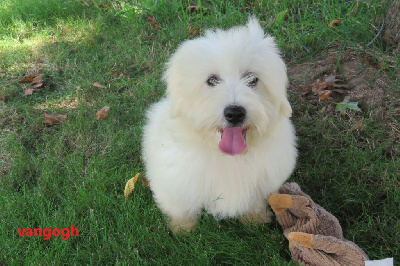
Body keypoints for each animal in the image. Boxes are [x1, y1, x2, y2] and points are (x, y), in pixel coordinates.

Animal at [142, 17, 296, 233]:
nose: (234, 113)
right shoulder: (175, 181)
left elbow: (254, 200)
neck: (228, 157)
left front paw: (255, 219)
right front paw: (183, 229)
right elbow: (181, 206)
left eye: (252, 79)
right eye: (212, 80)